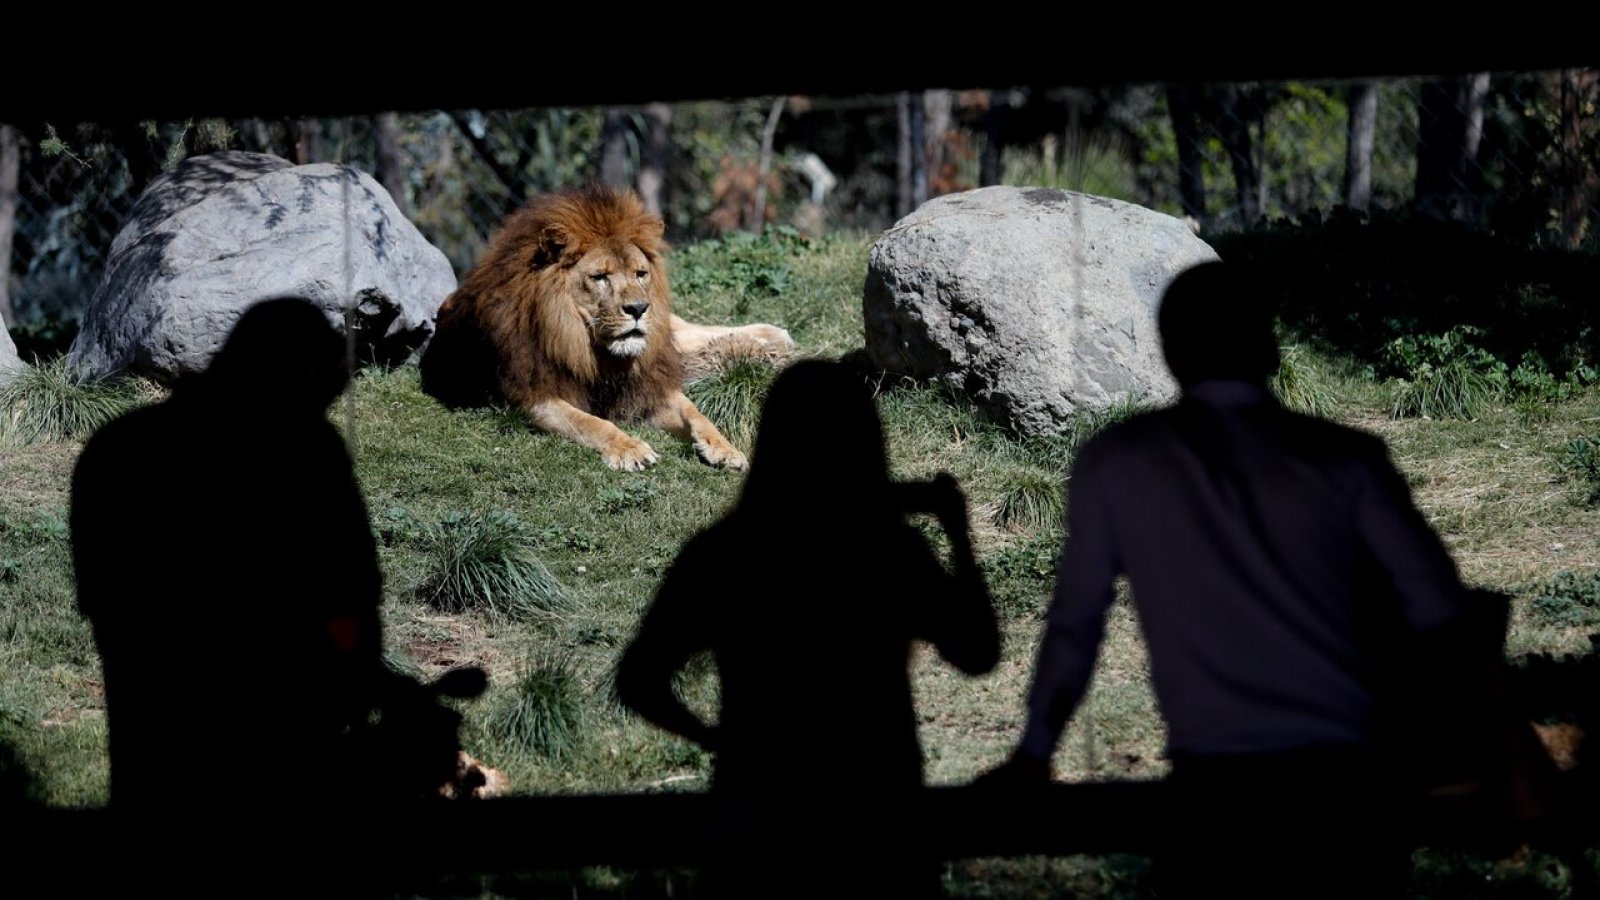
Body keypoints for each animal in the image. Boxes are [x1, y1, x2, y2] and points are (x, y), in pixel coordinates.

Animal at [419, 186, 793, 474]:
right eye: (599, 277)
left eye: (641, 273)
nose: (639, 308)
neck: (588, 347)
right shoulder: (534, 395)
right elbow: (591, 423)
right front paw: (630, 448)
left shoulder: (646, 385)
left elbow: (695, 413)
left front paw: (725, 448)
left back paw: (775, 337)